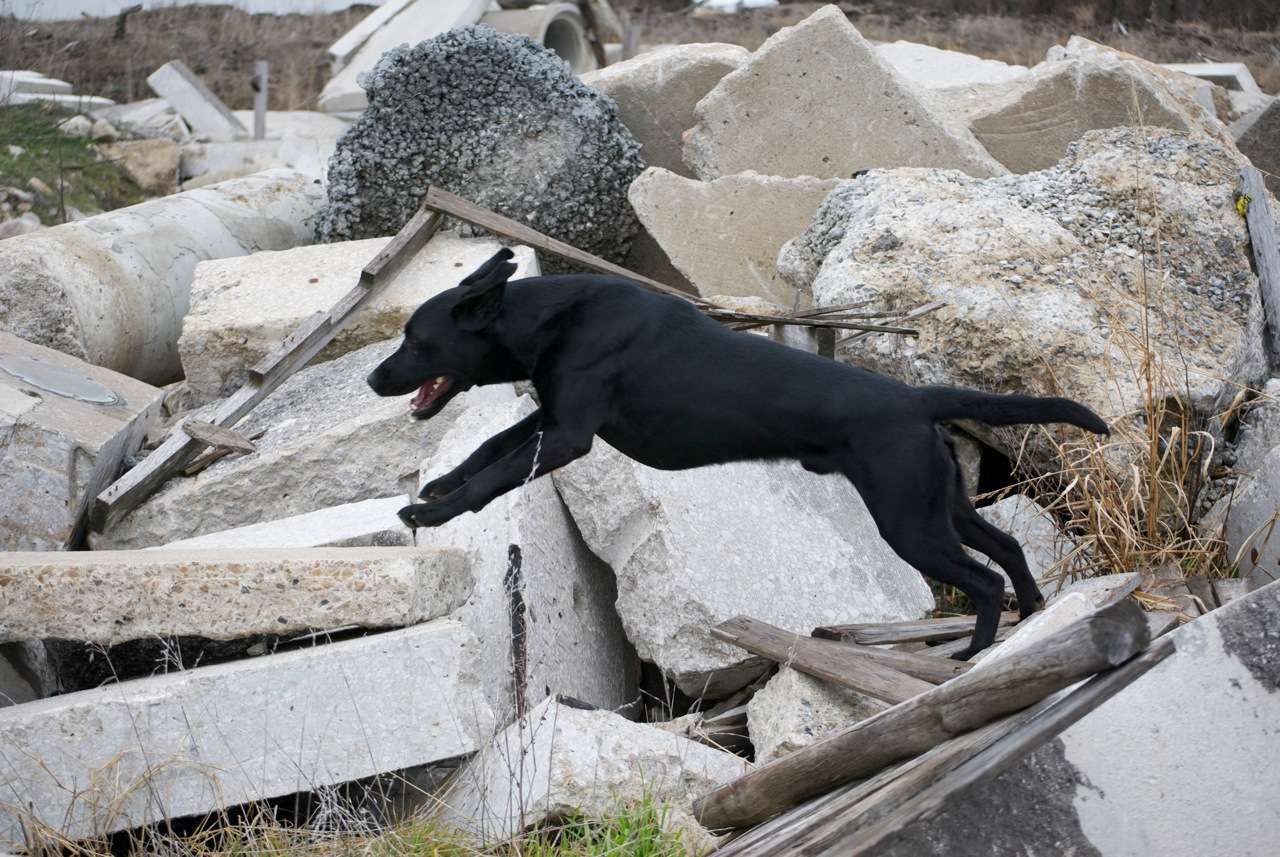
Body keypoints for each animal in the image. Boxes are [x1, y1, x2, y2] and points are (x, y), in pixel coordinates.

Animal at [366, 248, 1105, 660]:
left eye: (416, 340)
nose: (372, 379)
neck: (553, 318)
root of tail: (915, 399)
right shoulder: (553, 417)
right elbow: (491, 447)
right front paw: (439, 488)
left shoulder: (571, 433)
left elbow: (494, 473)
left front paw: (432, 514)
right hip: (939, 506)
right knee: (1007, 549)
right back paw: (1035, 616)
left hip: (908, 523)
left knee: (983, 580)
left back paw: (969, 656)